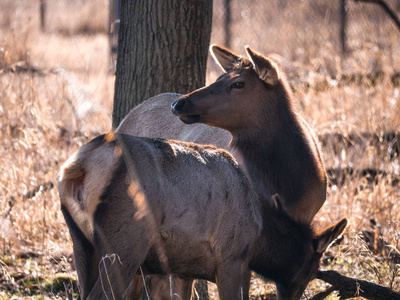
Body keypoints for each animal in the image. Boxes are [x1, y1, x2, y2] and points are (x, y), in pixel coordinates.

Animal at [58, 134, 346, 300]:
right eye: (312, 269)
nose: (292, 297)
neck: (260, 236)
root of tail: (79, 168)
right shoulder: (232, 257)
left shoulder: (182, 268)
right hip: (124, 244)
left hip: (80, 242)